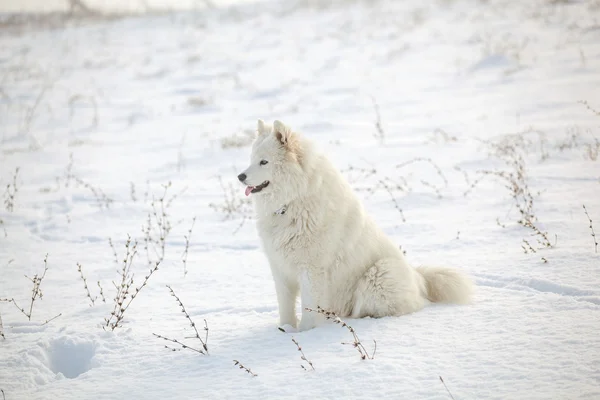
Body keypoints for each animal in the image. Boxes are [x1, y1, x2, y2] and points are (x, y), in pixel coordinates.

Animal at [238, 119, 474, 332]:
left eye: (264, 162)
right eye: (251, 160)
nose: (240, 176)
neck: (293, 201)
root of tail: (419, 279)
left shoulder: (312, 270)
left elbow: (309, 307)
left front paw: (306, 333)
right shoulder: (280, 269)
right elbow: (285, 306)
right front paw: (285, 330)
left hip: (378, 274)